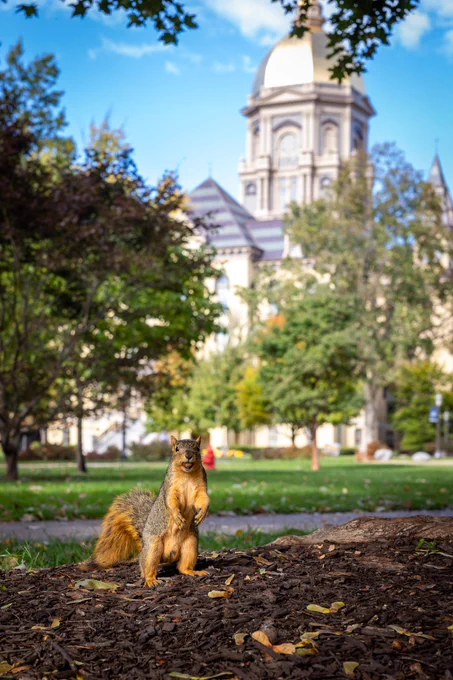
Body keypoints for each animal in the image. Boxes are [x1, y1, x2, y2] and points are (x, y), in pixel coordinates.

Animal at [94, 435, 210, 587]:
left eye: (197, 448)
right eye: (176, 449)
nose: (189, 455)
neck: (187, 475)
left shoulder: (201, 486)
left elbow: (203, 500)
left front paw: (202, 513)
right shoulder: (170, 488)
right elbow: (171, 502)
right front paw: (177, 517)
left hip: (191, 545)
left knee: (183, 567)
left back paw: (193, 571)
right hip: (153, 547)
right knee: (147, 567)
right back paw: (151, 580)